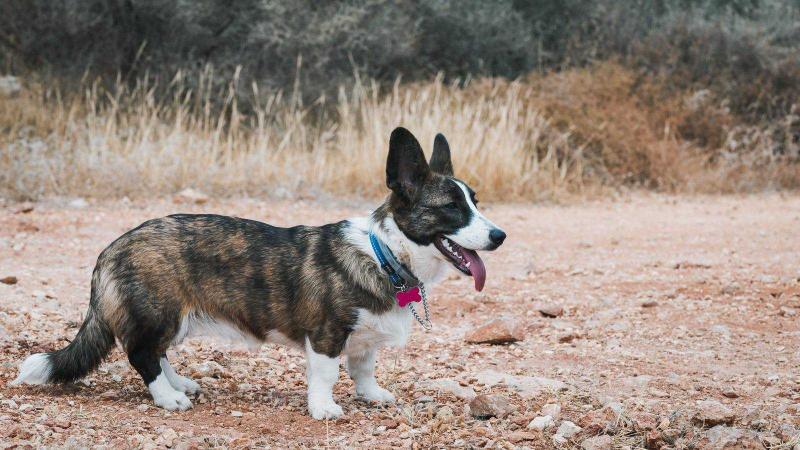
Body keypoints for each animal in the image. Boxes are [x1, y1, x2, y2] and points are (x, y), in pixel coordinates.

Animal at [12, 125, 506, 418]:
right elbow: (327, 375)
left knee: (158, 352)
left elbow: (364, 368)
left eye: (476, 202)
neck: (386, 253)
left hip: (175, 319)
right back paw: (168, 397)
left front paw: (372, 395)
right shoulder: (326, 335)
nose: (500, 235)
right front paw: (325, 409)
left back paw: (179, 384)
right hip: (160, 312)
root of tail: (112, 247)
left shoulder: (363, 339)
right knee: (141, 355)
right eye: (452, 208)